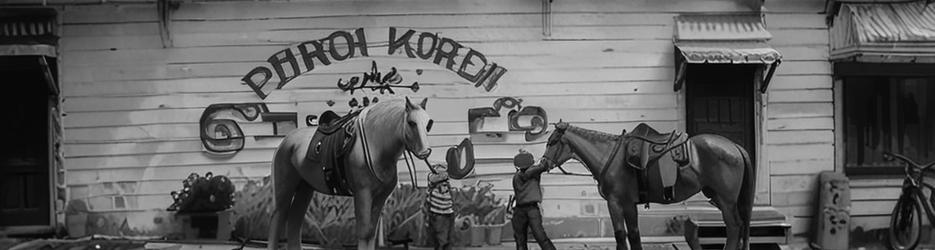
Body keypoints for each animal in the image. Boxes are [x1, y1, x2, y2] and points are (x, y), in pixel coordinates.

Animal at [266, 98, 436, 250]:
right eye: (411, 123)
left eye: (429, 123)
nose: (425, 152)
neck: (376, 147)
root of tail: (286, 141)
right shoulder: (362, 193)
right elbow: (363, 233)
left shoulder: (380, 197)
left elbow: (370, 233)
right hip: (285, 187)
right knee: (277, 218)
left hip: (305, 188)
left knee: (295, 219)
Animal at [540, 121, 752, 250]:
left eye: (553, 141)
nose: (542, 164)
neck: (611, 157)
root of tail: (735, 147)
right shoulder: (629, 204)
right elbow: (634, 234)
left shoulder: (616, 202)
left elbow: (621, 235)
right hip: (716, 196)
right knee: (738, 226)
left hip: (726, 199)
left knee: (734, 227)